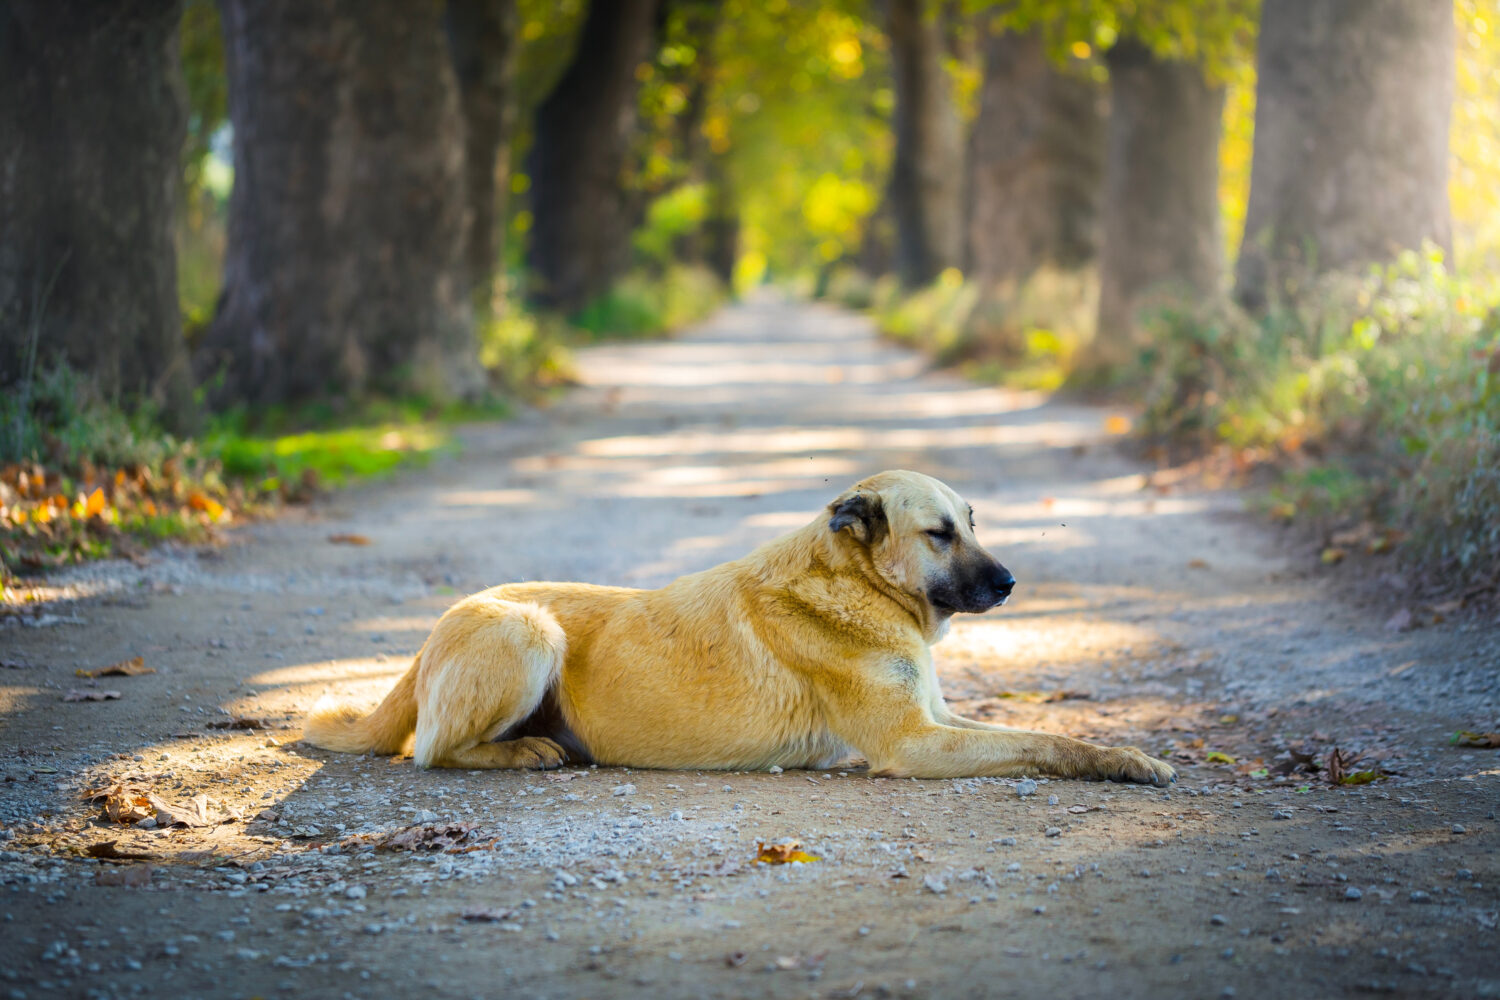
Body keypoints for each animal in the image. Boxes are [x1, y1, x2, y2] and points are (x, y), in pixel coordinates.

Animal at [301, 473, 1170, 785]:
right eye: (939, 534)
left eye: (974, 524)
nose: (1012, 582)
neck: (856, 589)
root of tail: (428, 638)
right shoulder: (913, 743)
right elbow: (1042, 743)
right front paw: (1125, 765)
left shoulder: (939, 718)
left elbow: (1040, 731)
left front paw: (1127, 754)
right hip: (528, 632)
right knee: (432, 749)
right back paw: (523, 751)